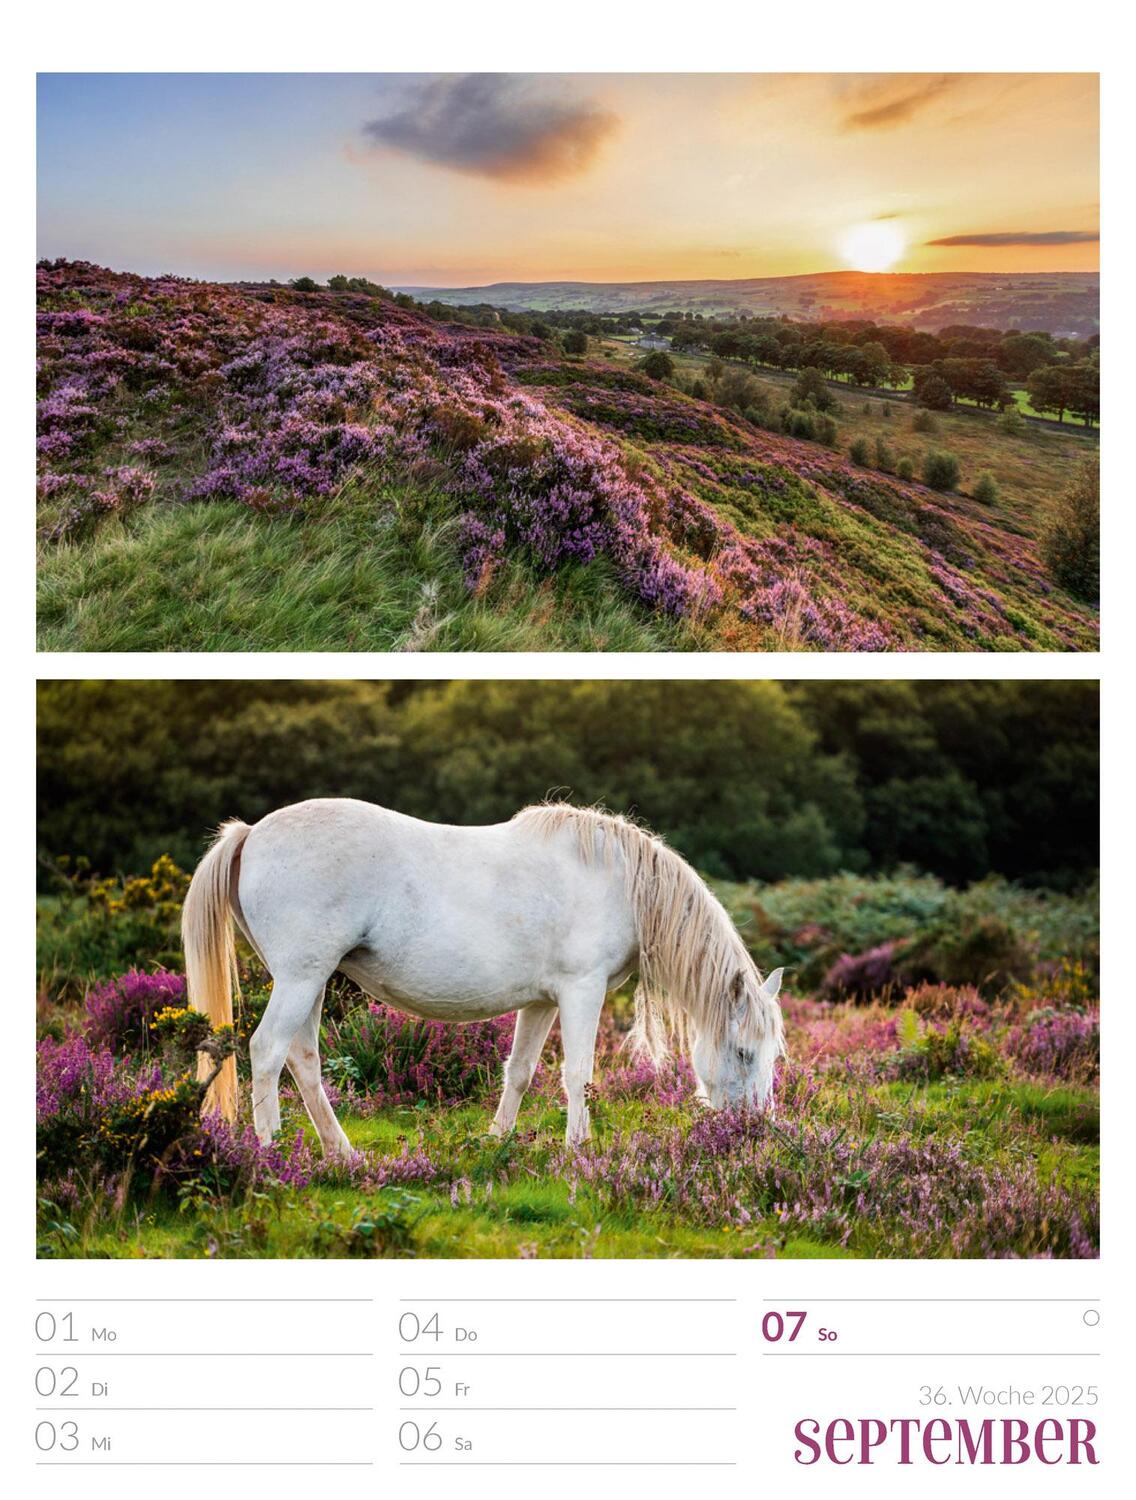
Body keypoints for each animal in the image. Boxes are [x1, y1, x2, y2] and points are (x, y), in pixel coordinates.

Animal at [181, 804, 786, 1152]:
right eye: (743, 1053)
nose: (755, 1131)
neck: (620, 882)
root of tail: (251, 833)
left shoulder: (543, 1001)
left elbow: (519, 1072)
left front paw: (497, 1140)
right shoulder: (581, 991)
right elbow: (578, 1074)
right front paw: (578, 1149)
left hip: (309, 981)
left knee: (302, 1059)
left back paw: (342, 1154)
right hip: (301, 979)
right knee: (266, 1051)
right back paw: (270, 1148)